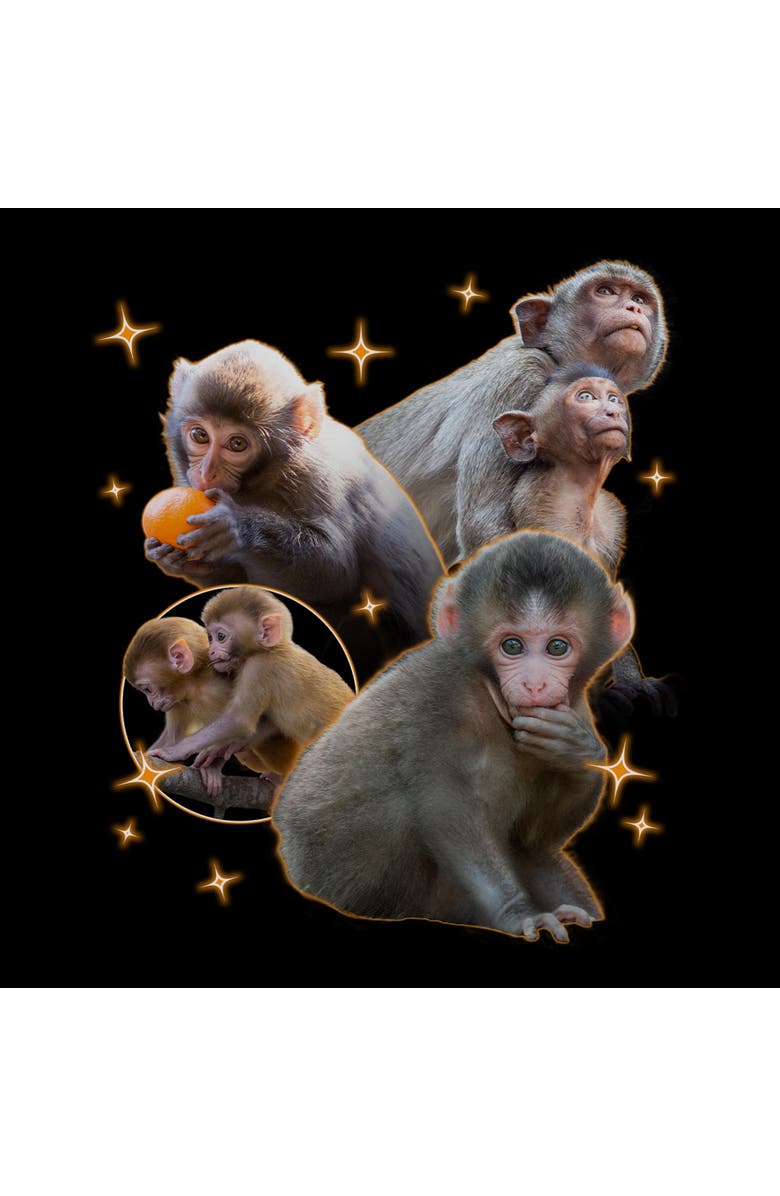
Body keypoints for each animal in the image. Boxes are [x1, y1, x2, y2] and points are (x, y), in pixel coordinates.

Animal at [123, 616, 291, 797]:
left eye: (148, 689)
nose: (151, 703)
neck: (196, 683)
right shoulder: (177, 701)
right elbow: (173, 737)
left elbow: (254, 722)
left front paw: (212, 764)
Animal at [144, 340, 444, 648]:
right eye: (200, 436)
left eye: (237, 444)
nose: (205, 473)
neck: (262, 482)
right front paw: (169, 556)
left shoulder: (317, 476)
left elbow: (335, 572)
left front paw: (235, 528)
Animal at [150, 586, 355, 781]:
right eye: (210, 638)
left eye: (220, 637)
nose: (211, 651)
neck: (270, 649)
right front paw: (226, 746)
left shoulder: (259, 667)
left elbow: (238, 719)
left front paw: (174, 751)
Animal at [273, 531, 635, 943]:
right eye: (512, 646)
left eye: (557, 647)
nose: (534, 684)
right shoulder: (442, 698)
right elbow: (449, 809)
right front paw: (521, 915)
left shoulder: (575, 708)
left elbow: (532, 839)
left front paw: (575, 750)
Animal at [356, 260, 666, 566]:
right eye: (605, 291)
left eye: (640, 298)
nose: (634, 308)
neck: (554, 361)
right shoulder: (518, 377)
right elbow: (484, 523)